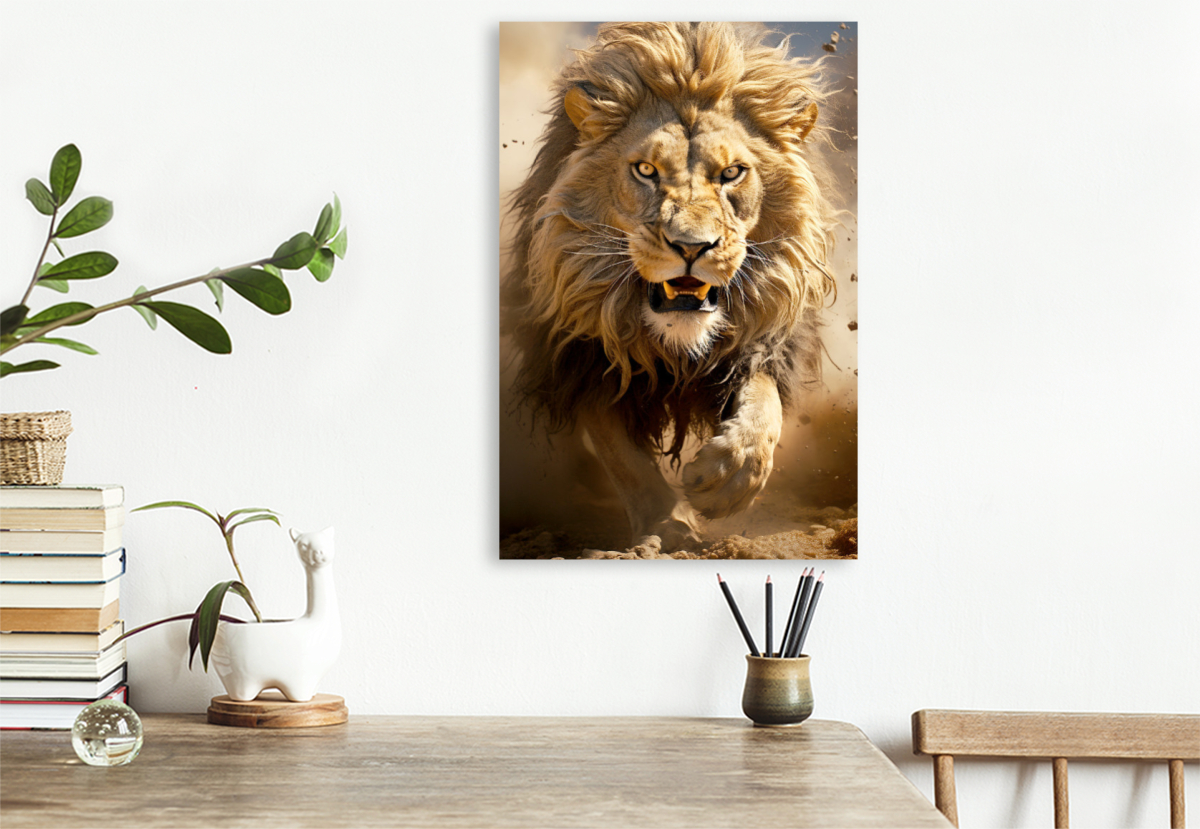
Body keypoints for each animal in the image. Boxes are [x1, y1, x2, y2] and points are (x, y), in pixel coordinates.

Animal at [502, 22, 840, 552]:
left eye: (732, 173)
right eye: (646, 170)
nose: (691, 247)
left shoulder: (765, 338)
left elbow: (763, 406)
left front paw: (726, 479)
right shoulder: (583, 354)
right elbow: (624, 458)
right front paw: (668, 525)